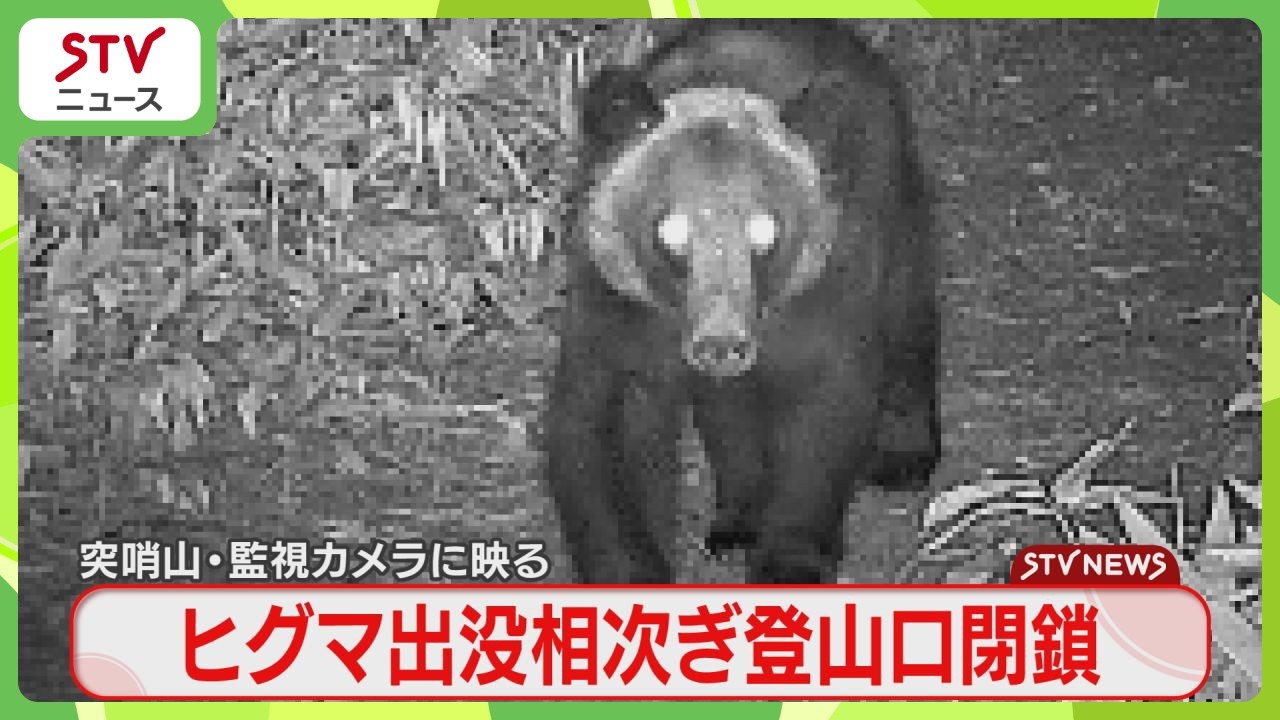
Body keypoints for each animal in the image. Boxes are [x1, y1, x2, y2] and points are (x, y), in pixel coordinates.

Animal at [547, 20, 940, 584]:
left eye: (765, 228)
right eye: (671, 229)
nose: (721, 343)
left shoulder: (822, 290)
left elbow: (825, 412)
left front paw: (790, 561)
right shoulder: (617, 306)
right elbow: (605, 431)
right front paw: (633, 568)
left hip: (892, 206)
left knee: (908, 316)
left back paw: (904, 452)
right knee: (729, 414)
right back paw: (737, 518)